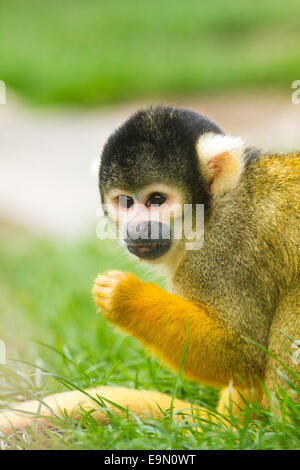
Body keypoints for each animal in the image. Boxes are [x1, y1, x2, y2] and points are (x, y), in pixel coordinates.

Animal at [0, 106, 300, 434]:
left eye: (156, 200)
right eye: (126, 202)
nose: (137, 228)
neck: (210, 215)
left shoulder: (225, 254)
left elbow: (244, 353)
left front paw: (125, 297)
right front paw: (227, 426)